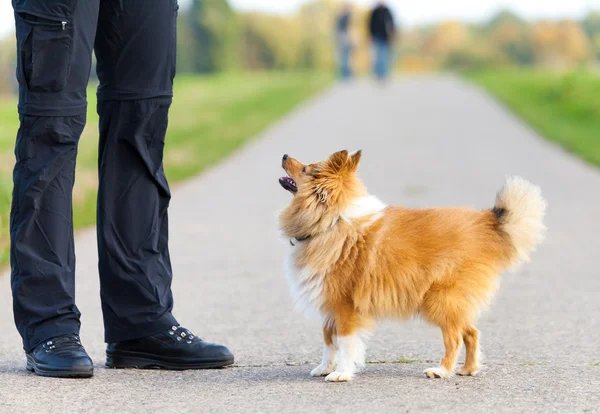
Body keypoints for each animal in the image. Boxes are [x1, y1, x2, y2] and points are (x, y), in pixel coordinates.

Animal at [278, 150, 548, 382]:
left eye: (306, 168)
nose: (284, 155)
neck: (330, 221)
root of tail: (487, 223)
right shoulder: (330, 304)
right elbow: (327, 340)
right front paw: (324, 368)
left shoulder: (345, 306)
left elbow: (345, 342)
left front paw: (341, 374)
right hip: (452, 302)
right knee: (471, 333)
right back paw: (468, 370)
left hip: (439, 300)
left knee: (455, 338)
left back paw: (441, 371)